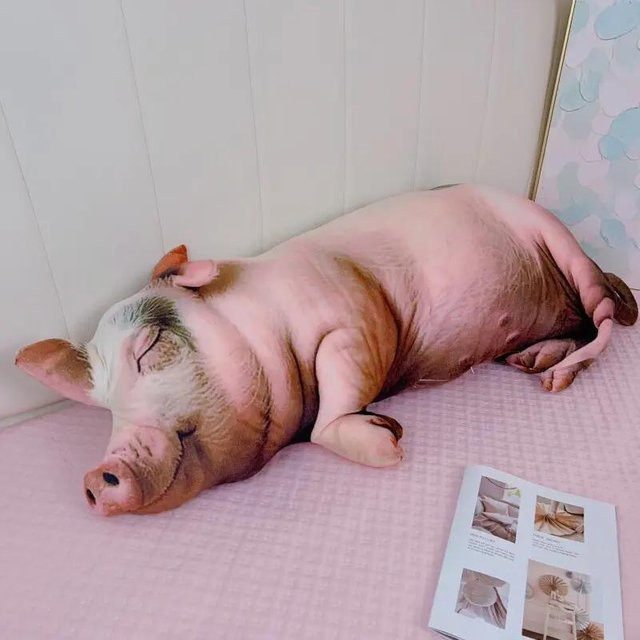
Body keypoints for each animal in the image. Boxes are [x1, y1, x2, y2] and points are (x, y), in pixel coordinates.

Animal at [15, 184, 638, 516]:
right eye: (104, 407)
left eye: (149, 349)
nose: (95, 474)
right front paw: (389, 432)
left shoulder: (356, 318)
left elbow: (335, 402)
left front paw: (391, 446)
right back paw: (531, 361)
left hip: (557, 239)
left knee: (608, 315)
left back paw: (554, 379)